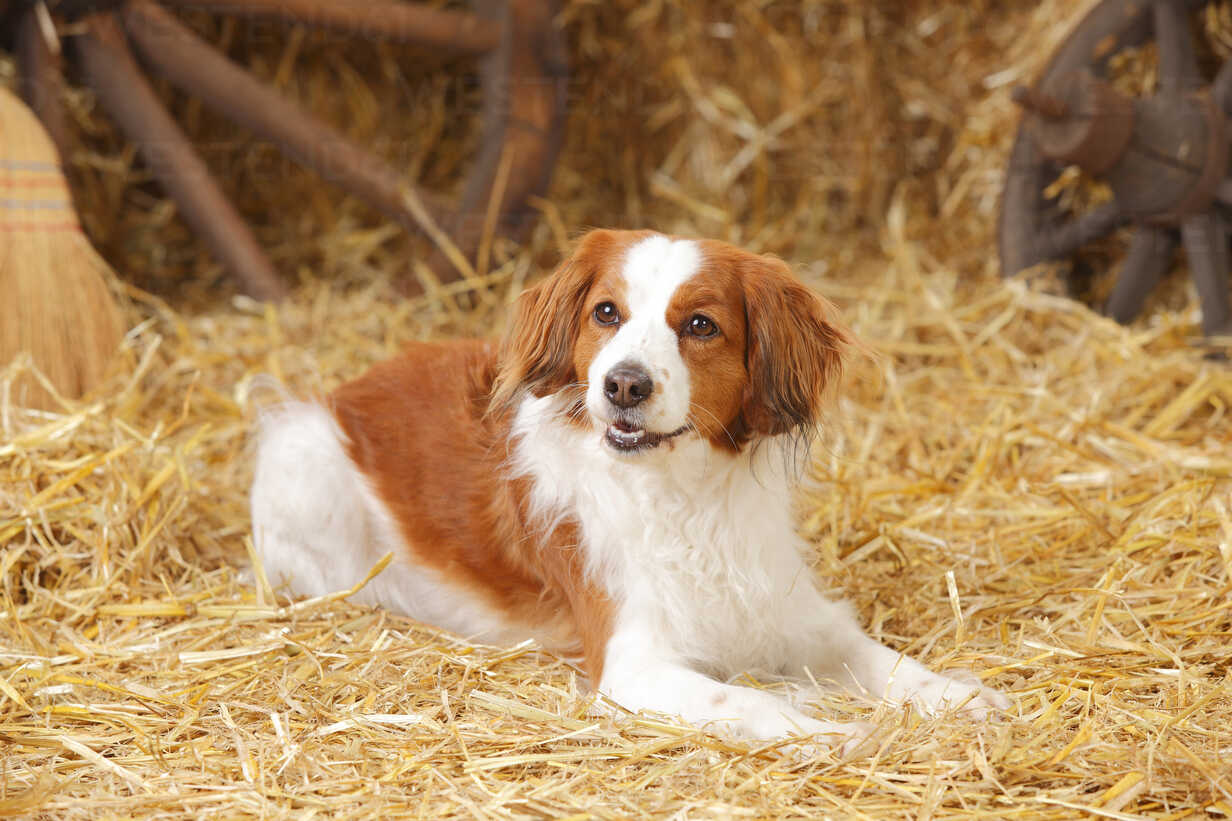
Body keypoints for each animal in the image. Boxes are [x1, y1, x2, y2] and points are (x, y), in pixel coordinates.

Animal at [252, 226, 1010, 744]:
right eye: (606, 313)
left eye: (700, 324)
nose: (623, 384)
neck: (682, 496)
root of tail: (345, 391)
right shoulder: (633, 665)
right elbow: (752, 701)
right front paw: (835, 731)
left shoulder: (788, 610)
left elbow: (885, 660)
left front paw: (958, 696)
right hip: (303, 458)